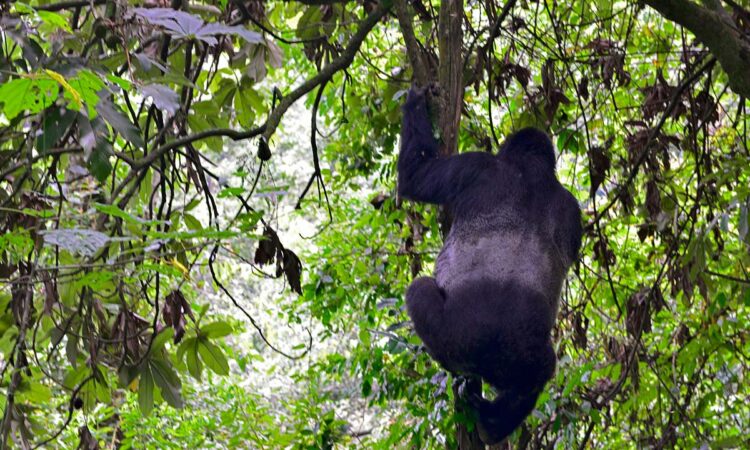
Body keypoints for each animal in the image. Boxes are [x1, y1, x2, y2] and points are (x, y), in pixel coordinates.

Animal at [398, 86, 582, 444]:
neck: (530, 168)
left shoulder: (476, 164)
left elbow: (416, 177)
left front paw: (414, 105)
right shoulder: (573, 209)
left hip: (456, 340)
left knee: (419, 291)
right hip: (524, 357)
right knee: (540, 373)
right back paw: (495, 422)